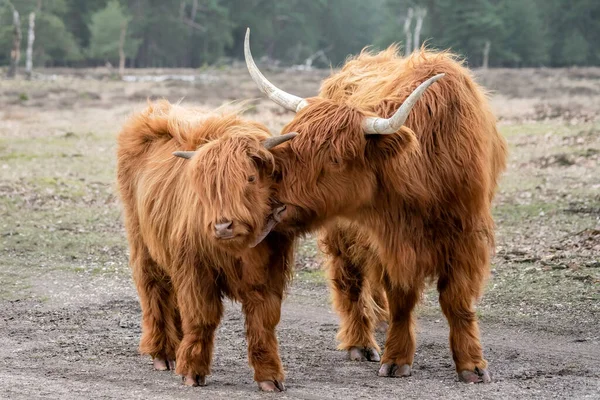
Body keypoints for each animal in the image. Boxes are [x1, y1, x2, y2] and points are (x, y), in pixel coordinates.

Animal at [115, 101, 296, 390]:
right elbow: (201, 317)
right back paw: (163, 354)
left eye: (250, 178)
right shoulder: (195, 270)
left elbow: (263, 321)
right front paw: (191, 371)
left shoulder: (268, 274)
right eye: (207, 186)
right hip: (143, 244)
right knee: (154, 290)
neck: (238, 251)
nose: (223, 226)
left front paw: (269, 377)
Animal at [243, 29, 506, 382]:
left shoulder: (467, 235)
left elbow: (457, 299)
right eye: (289, 141)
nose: (271, 199)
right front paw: (396, 359)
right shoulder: (393, 240)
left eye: (336, 158)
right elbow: (402, 297)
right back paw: (361, 343)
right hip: (343, 236)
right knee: (350, 284)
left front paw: (472, 365)